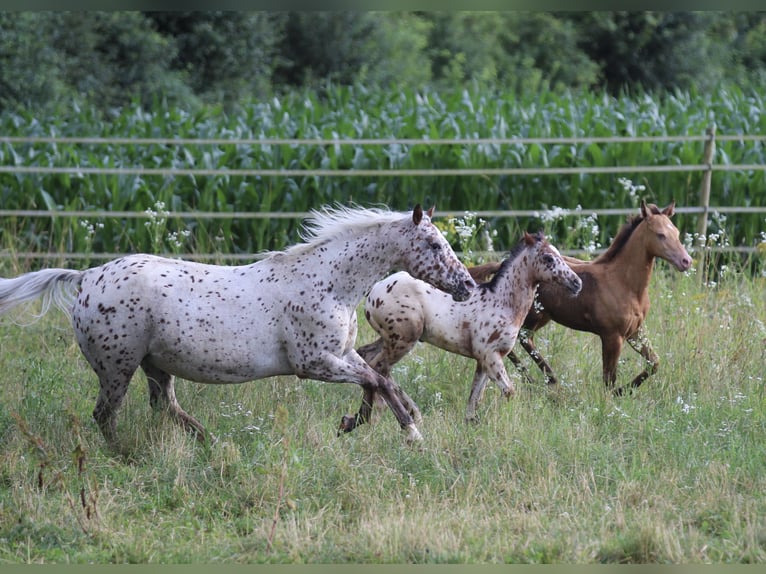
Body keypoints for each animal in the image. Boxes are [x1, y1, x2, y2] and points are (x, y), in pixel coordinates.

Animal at [0, 206, 476, 446]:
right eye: (434, 243)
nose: (468, 285)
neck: (329, 283)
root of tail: (87, 277)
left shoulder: (342, 355)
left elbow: (379, 381)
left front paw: (379, 425)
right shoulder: (314, 363)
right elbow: (377, 380)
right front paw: (402, 431)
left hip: (156, 365)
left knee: (166, 407)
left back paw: (212, 446)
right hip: (117, 368)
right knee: (105, 416)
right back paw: (127, 457)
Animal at [472, 201, 692, 396]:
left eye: (677, 232)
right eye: (660, 235)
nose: (686, 261)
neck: (625, 284)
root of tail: (501, 265)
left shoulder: (635, 332)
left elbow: (654, 362)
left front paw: (624, 391)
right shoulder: (612, 336)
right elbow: (609, 379)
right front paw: (613, 397)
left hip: (541, 317)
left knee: (523, 340)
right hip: (531, 316)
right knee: (520, 340)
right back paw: (545, 380)